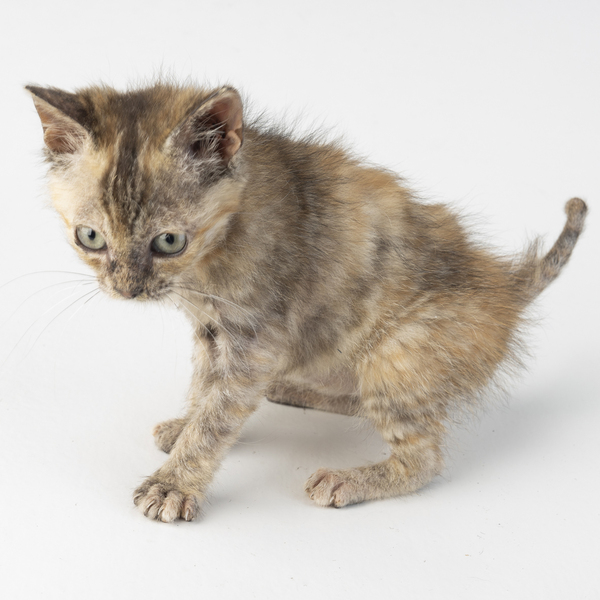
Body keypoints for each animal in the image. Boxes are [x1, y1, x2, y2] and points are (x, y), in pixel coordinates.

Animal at [26, 82, 587, 523]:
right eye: (90, 237)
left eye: (168, 241)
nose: (127, 289)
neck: (215, 252)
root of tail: (508, 289)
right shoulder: (212, 330)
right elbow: (205, 386)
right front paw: (185, 425)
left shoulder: (255, 341)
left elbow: (219, 414)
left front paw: (175, 483)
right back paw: (294, 390)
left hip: (397, 353)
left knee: (424, 458)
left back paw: (348, 479)